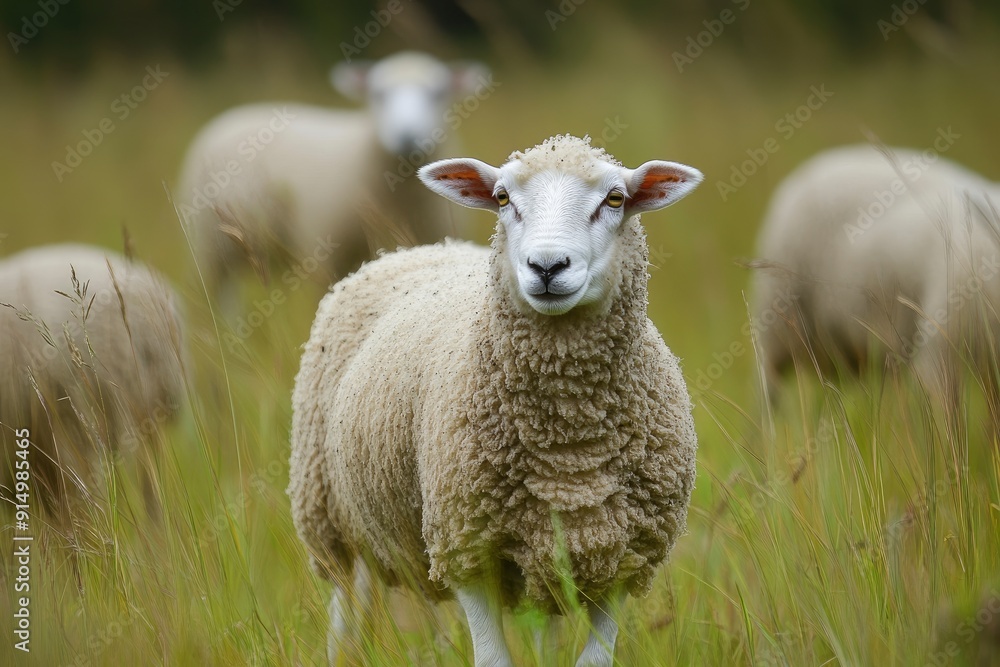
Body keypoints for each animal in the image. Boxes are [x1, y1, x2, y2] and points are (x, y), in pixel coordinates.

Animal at [175, 50, 491, 309]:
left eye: (438, 93)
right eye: (378, 94)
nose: (407, 136)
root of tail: (233, 114)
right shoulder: (323, 257)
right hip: (211, 248)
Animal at [288, 134, 702, 666]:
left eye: (615, 199)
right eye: (503, 198)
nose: (547, 266)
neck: (568, 442)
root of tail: (422, 249)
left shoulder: (622, 556)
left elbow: (591, 660)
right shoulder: (466, 548)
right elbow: (492, 658)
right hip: (331, 519)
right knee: (345, 618)